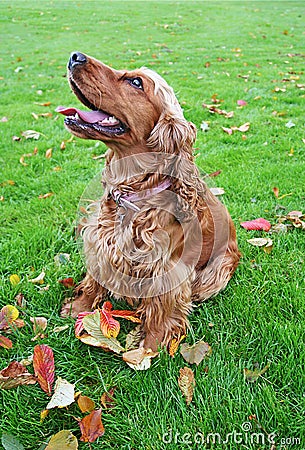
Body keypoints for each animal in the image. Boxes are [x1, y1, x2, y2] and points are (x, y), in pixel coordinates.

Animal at [57, 51, 240, 348]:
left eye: (136, 82)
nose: (76, 56)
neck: (135, 190)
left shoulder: (167, 269)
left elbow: (162, 309)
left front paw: (150, 347)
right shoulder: (100, 242)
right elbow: (94, 280)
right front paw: (78, 308)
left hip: (217, 271)